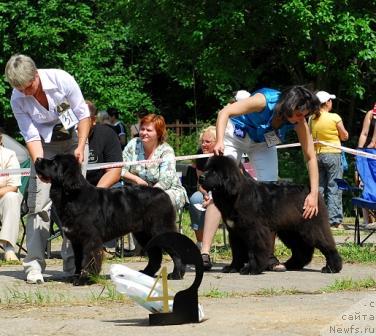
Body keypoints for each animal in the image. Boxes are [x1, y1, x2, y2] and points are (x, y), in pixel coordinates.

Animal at [34, 154, 184, 284]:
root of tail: (163, 193)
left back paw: (176, 274)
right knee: (155, 254)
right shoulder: (76, 240)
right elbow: (78, 260)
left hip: (160, 228)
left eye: (54, 163)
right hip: (143, 233)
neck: (71, 196)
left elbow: (89, 259)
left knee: (175, 251)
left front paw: (85, 279)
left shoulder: (90, 239)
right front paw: (76, 277)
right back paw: (146, 273)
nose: (37, 158)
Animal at [201, 156, 342, 274]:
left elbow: (255, 250)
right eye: (207, 169)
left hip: (311, 227)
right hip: (290, 230)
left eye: (214, 172)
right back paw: (291, 265)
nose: (201, 177)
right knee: (302, 249)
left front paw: (252, 269)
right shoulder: (235, 232)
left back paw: (332, 268)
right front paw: (232, 268)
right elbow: (237, 252)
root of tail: (310, 190)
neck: (234, 196)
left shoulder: (254, 230)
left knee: (326, 244)